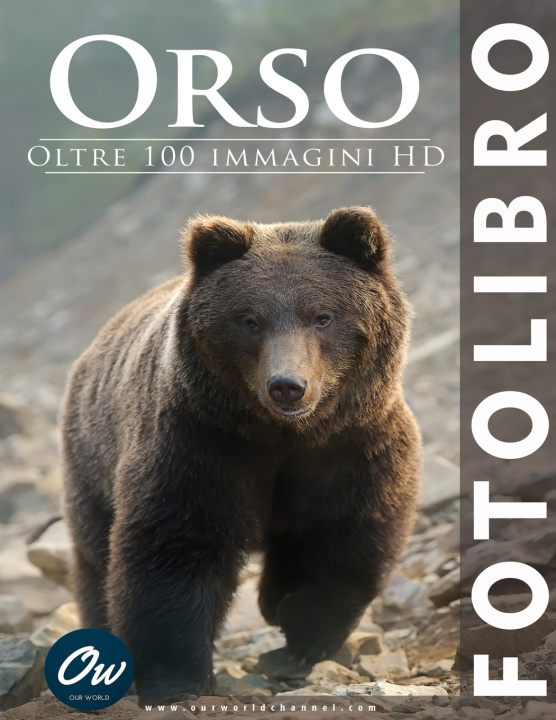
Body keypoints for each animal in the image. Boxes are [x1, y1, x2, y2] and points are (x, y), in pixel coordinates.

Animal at [61, 206, 421, 698]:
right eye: (250, 320)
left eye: (321, 316)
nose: (287, 385)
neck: (284, 434)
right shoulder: (201, 443)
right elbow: (175, 546)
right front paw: (179, 678)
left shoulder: (353, 445)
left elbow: (347, 536)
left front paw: (302, 629)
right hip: (92, 457)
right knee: (96, 556)